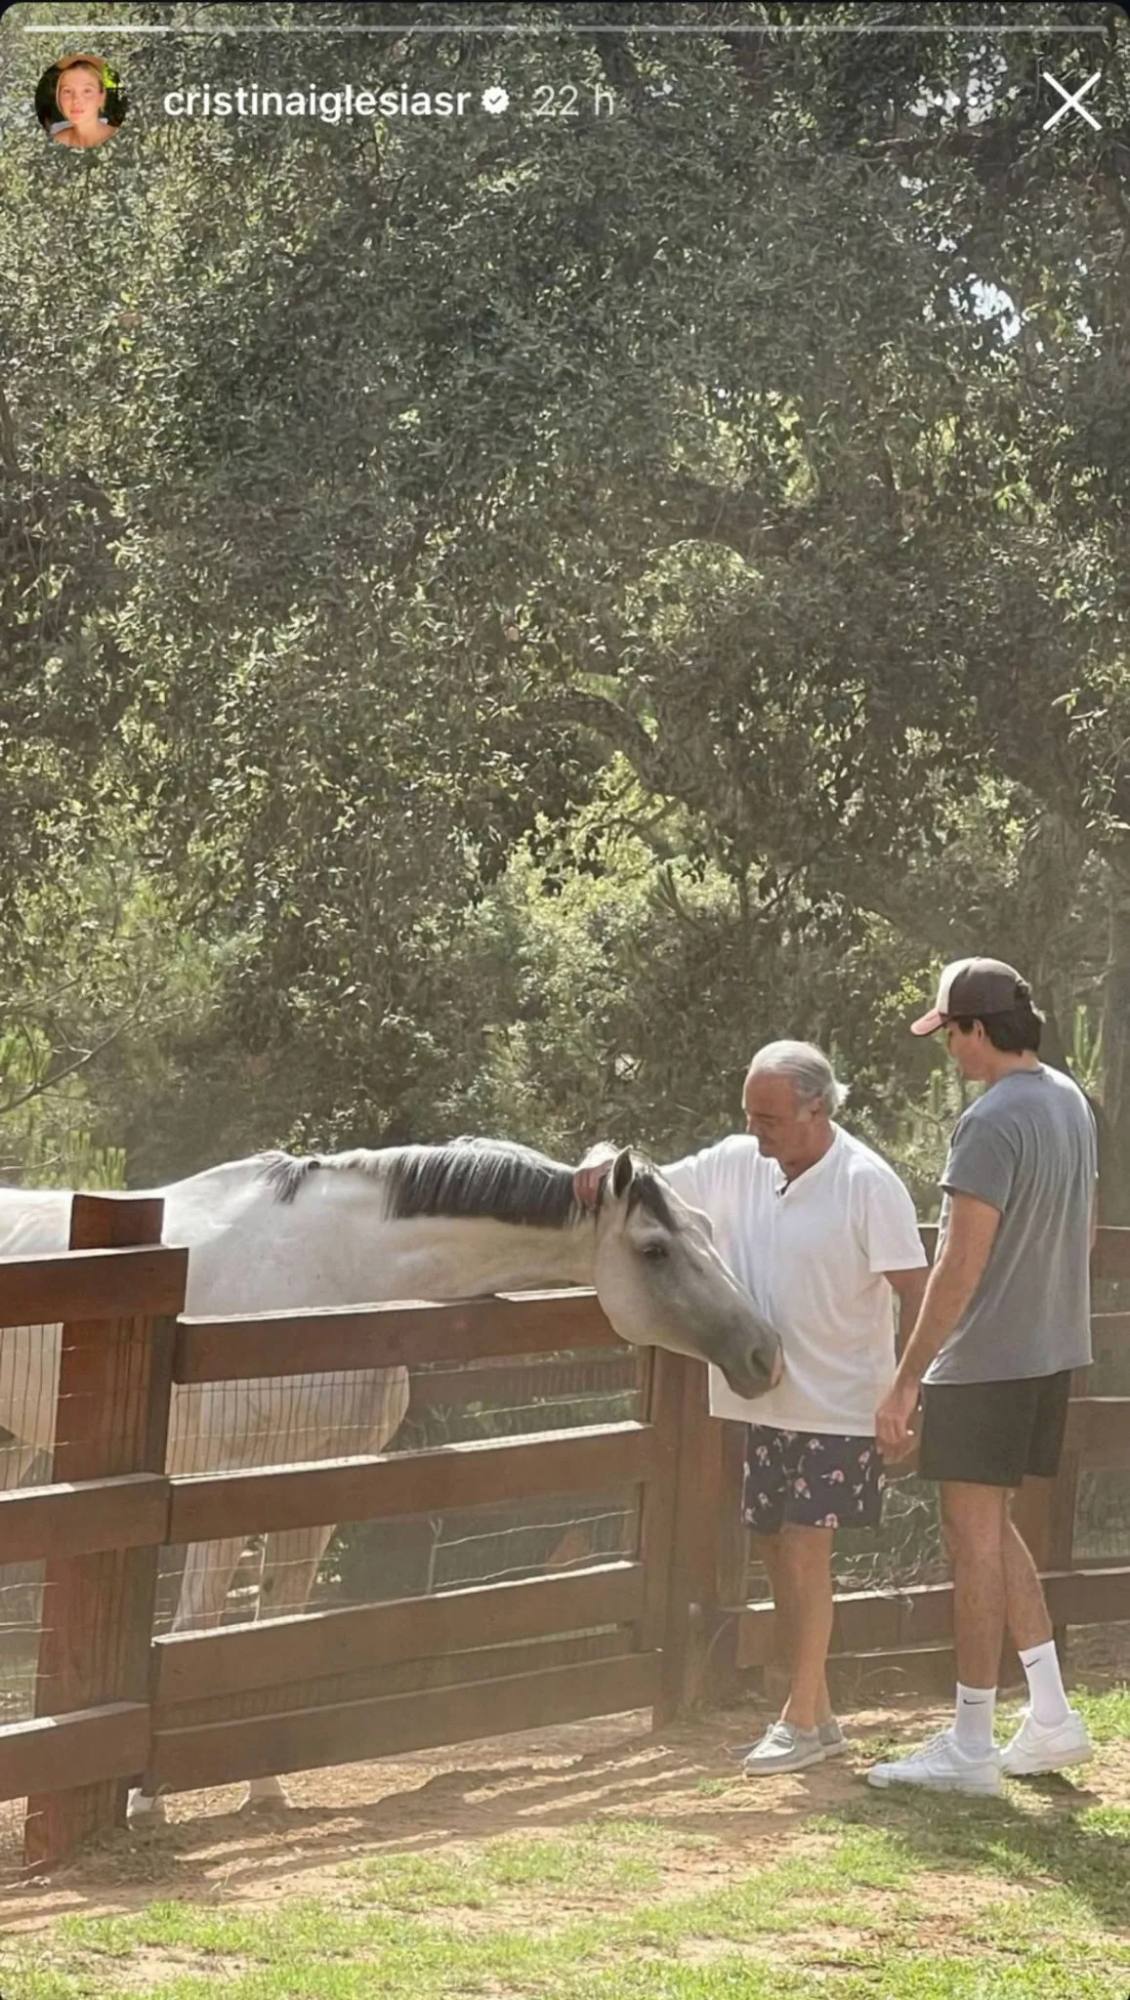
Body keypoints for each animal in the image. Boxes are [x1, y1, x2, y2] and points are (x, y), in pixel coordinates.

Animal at [0, 1144, 784, 1816]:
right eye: (655, 1248)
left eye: (706, 1229)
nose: (764, 1354)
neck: (328, 1277)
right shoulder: (217, 1484)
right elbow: (198, 1624)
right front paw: (147, 1801)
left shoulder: (316, 1484)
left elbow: (277, 1623)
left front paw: (266, 1788)